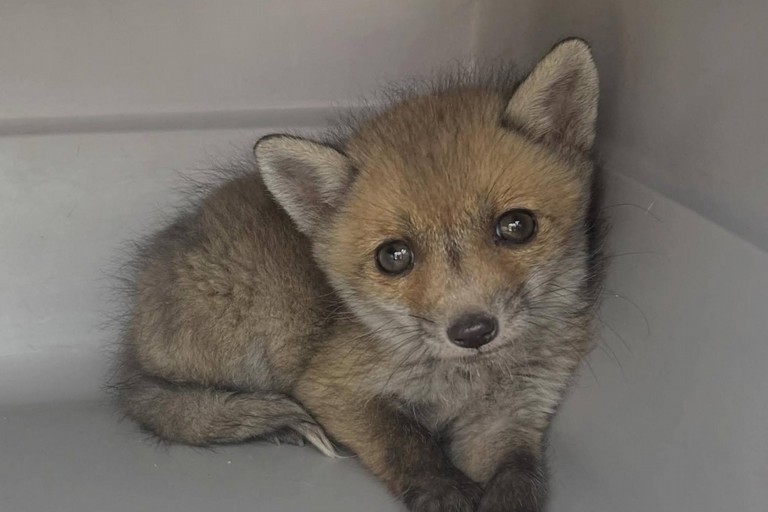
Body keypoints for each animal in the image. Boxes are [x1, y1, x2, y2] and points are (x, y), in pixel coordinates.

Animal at [112, 38, 605, 512]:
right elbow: (404, 442)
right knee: (167, 407)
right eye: (394, 256)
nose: (473, 331)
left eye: (517, 225)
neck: (465, 381)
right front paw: (442, 491)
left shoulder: (513, 414)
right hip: (261, 328)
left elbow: (520, 479)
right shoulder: (331, 389)